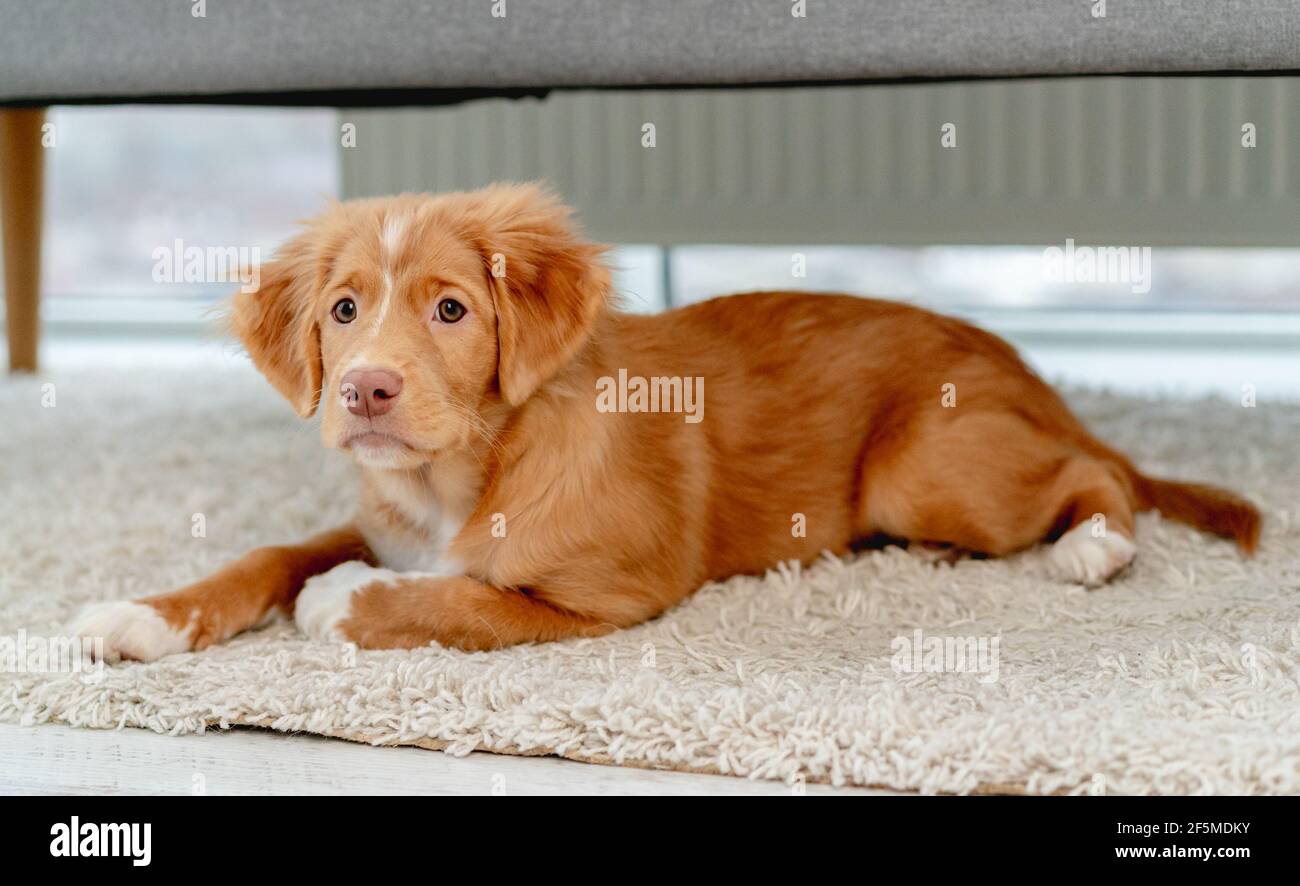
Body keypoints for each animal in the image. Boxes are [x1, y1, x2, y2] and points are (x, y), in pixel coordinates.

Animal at [68, 183, 1258, 659]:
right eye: (343, 311)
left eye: (451, 309)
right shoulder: (379, 517)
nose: (365, 391)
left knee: (1093, 473)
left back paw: (1094, 547)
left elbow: (454, 596)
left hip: (927, 465)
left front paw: (345, 602)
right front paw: (142, 614)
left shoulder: (600, 596)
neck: (464, 473)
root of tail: (1026, 368)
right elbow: (270, 553)